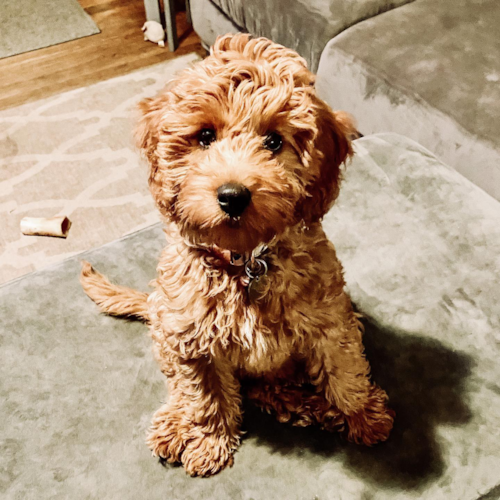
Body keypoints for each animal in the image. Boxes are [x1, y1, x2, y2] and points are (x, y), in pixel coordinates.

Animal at [81, 34, 394, 476]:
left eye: (274, 141)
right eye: (205, 136)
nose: (232, 195)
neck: (244, 261)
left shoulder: (329, 319)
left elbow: (343, 368)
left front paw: (362, 414)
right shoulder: (192, 340)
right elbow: (206, 396)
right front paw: (209, 442)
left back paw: (306, 402)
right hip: (165, 325)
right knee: (178, 385)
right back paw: (176, 423)